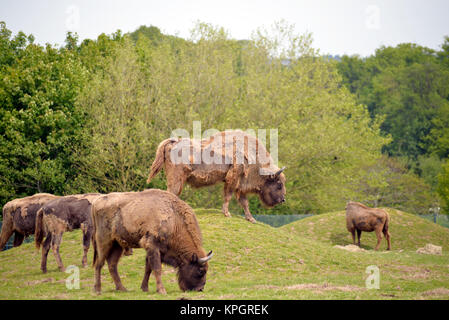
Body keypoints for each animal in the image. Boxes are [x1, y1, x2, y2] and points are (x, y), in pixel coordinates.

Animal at [148, 129, 288, 222]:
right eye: (279, 184)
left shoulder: (240, 185)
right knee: (171, 194)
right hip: (176, 180)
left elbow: (244, 203)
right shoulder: (233, 179)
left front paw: (251, 219)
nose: (283, 199)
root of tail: (173, 142)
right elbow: (228, 196)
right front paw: (227, 213)